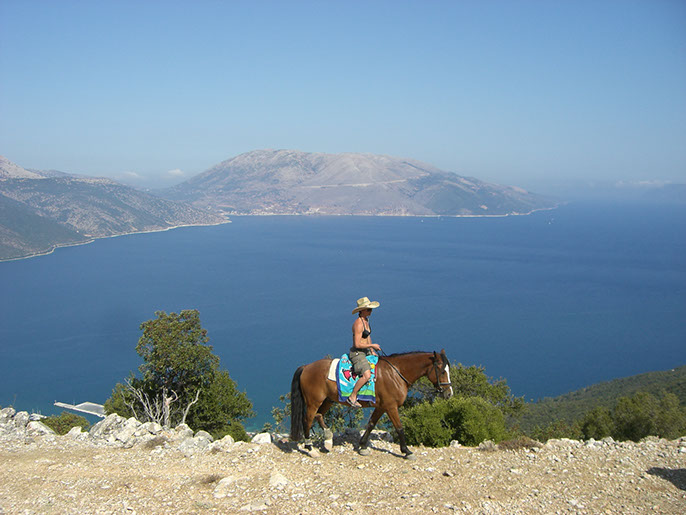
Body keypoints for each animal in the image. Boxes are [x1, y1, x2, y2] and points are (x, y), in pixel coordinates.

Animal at [292, 350, 454, 460]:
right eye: (441, 371)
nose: (449, 394)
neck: (395, 373)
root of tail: (306, 367)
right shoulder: (391, 407)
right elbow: (399, 428)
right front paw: (406, 451)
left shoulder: (381, 407)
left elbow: (371, 424)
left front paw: (363, 446)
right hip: (313, 402)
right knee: (307, 420)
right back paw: (310, 448)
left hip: (328, 400)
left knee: (319, 415)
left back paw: (327, 441)